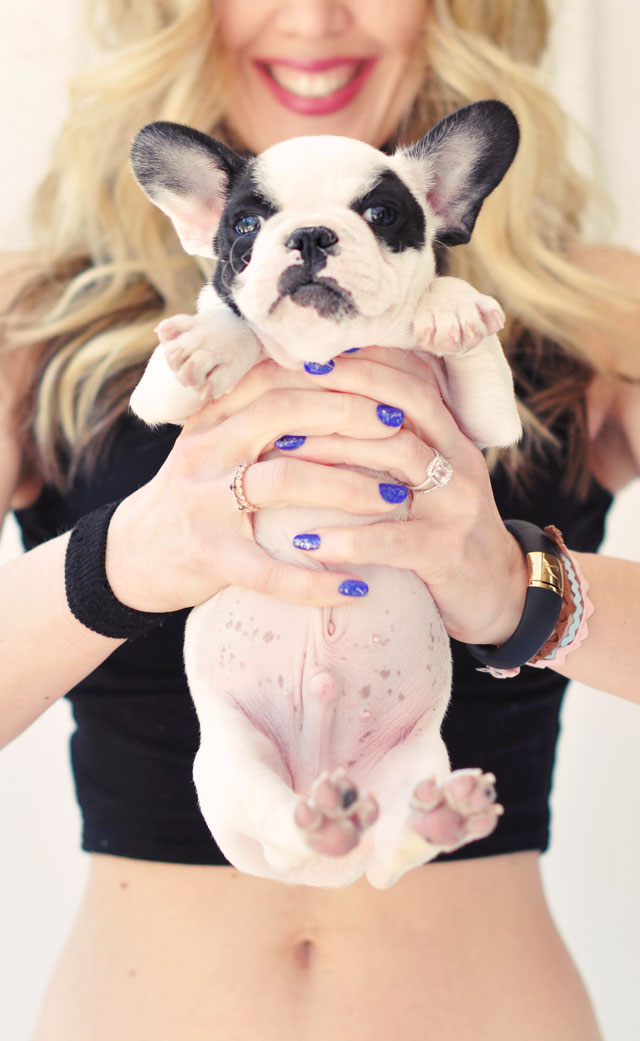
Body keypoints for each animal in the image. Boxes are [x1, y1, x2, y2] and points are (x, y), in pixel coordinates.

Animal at [129, 99, 520, 886]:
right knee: (279, 825)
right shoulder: (159, 397)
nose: (310, 234)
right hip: (229, 765)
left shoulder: (490, 417)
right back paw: (318, 823)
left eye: (381, 213)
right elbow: (224, 326)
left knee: (395, 849)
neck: (326, 349)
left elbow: (473, 357)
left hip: (419, 760)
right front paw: (214, 342)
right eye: (246, 224)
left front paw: (451, 305)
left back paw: (436, 817)